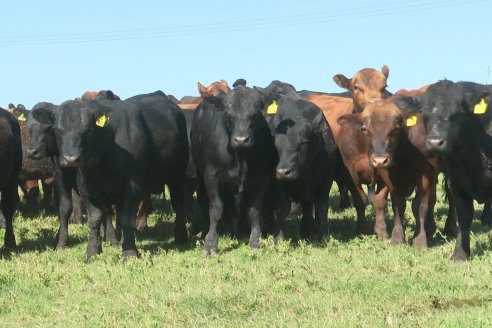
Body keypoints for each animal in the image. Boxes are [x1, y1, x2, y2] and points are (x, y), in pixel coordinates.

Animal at [54, 91, 188, 258]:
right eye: (58, 131)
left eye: (87, 131)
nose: (70, 159)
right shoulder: (86, 187)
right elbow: (95, 218)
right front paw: (92, 251)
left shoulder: (132, 186)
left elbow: (126, 219)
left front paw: (129, 252)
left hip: (177, 177)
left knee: (178, 205)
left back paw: (181, 237)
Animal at [191, 86, 276, 255]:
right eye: (228, 113)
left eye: (255, 113)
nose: (241, 139)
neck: (240, 158)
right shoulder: (211, 176)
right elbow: (216, 210)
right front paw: (210, 245)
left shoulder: (263, 178)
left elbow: (254, 210)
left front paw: (254, 242)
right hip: (200, 174)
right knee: (205, 203)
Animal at [256, 80, 336, 240]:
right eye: (276, 143)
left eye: (303, 143)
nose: (283, 171)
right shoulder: (278, 183)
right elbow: (281, 208)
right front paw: (279, 238)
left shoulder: (326, 180)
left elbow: (321, 208)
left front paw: (323, 236)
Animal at [336, 101, 436, 247]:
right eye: (365, 129)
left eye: (395, 129)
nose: (379, 160)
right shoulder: (353, 174)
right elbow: (367, 201)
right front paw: (364, 230)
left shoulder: (425, 174)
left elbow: (419, 206)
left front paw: (419, 241)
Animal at [398, 79, 492, 258]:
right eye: (424, 113)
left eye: (458, 112)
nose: (435, 142)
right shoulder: (457, 180)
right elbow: (464, 216)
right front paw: (460, 254)